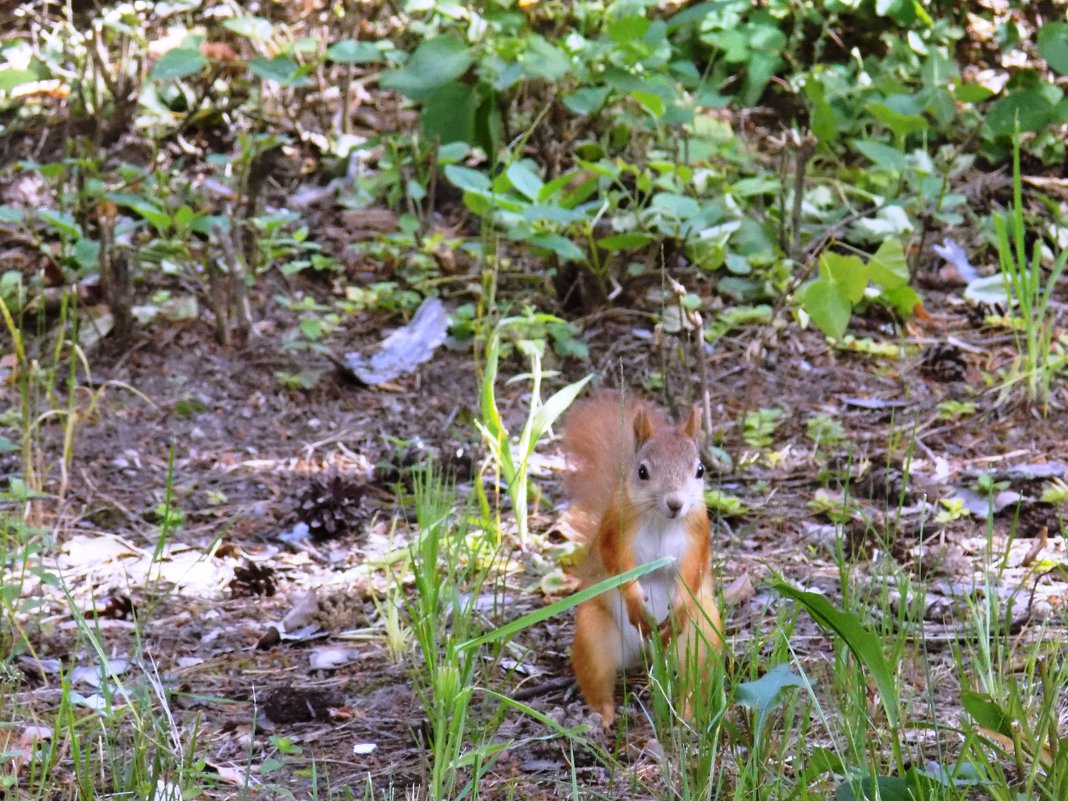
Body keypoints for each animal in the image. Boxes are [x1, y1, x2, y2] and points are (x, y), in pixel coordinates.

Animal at [563, 393, 721, 730]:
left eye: (700, 470)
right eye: (642, 472)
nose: (675, 503)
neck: (662, 520)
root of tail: (647, 654)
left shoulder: (698, 535)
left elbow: (693, 571)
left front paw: (679, 606)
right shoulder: (616, 529)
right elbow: (617, 564)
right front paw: (635, 601)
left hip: (701, 637)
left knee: (694, 680)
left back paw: (687, 715)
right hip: (594, 635)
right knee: (598, 680)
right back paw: (602, 717)